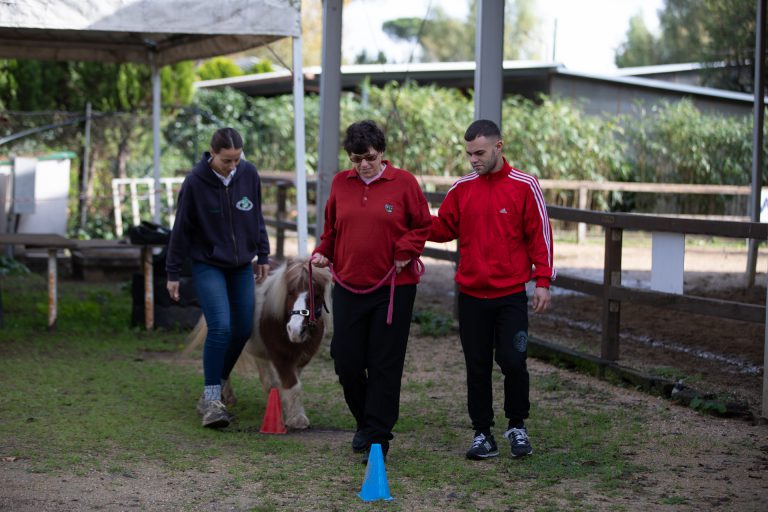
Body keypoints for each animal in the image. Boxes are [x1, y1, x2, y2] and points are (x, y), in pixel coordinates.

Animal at [185, 257, 332, 429]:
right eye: (289, 292)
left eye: (317, 295)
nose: (295, 330)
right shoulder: (281, 358)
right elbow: (293, 384)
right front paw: (297, 419)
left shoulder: (302, 359)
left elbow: (292, 384)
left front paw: (289, 410)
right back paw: (225, 397)